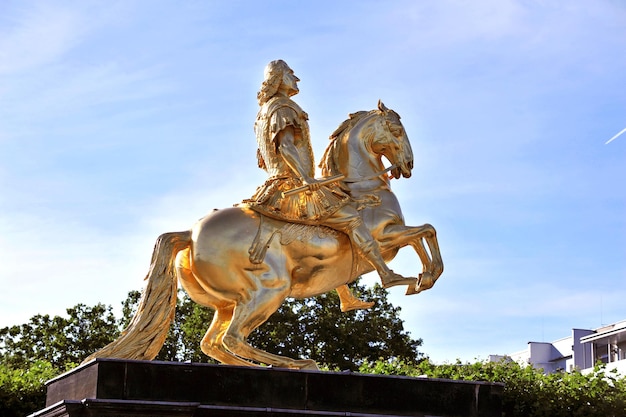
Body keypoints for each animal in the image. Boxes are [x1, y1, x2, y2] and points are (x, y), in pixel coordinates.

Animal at [85, 101, 442, 368]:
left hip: (229, 303)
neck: (362, 190)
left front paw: (423, 278)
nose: (408, 164)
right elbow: (424, 232)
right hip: (270, 290)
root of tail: (188, 233)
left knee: (213, 344)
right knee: (231, 338)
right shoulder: (385, 237)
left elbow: (423, 235)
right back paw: (300, 363)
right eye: (396, 130)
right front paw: (410, 279)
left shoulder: (393, 236)